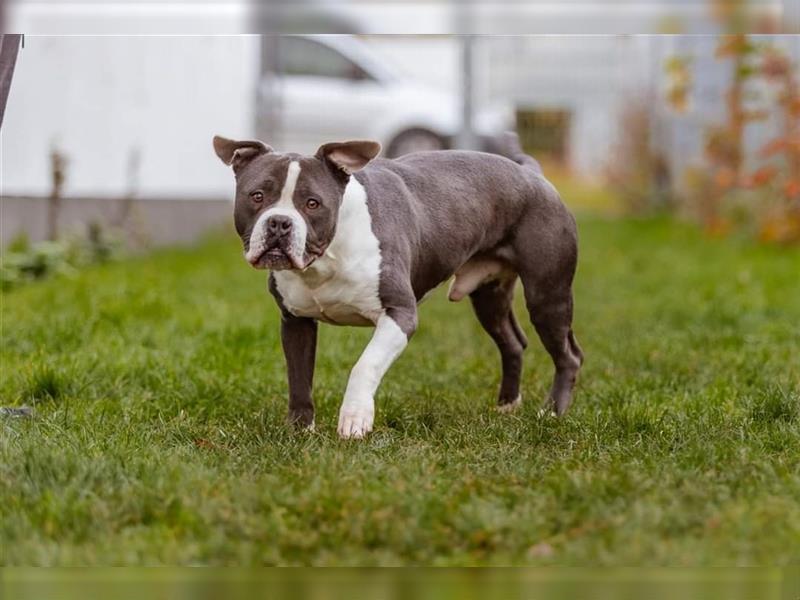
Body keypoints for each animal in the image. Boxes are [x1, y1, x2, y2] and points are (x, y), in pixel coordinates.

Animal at [214, 134, 580, 438]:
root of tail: (532, 173)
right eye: (257, 196)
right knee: (513, 342)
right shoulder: (296, 321)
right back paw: (507, 406)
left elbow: (365, 365)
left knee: (569, 355)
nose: (279, 223)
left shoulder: (400, 314)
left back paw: (551, 413)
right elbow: (299, 378)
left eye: (312, 203)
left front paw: (355, 419)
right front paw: (300, 429)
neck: (327, 256)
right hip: (489, 296)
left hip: (547, 294)